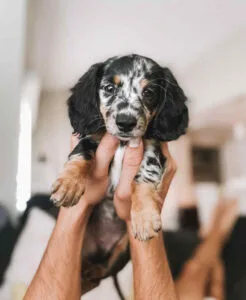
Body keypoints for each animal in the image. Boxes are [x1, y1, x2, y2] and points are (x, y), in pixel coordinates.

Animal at [50, 55, 188, 294]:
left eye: (149, 92)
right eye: (109, 88)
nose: (125, 122)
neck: (123, 143)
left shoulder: (153, 147)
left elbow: (145, 172)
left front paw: (144, 217)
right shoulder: (93, 137)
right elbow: (80, 153)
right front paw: (68, 184)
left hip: (122, 249)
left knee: (97, 275)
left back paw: (91, 273)